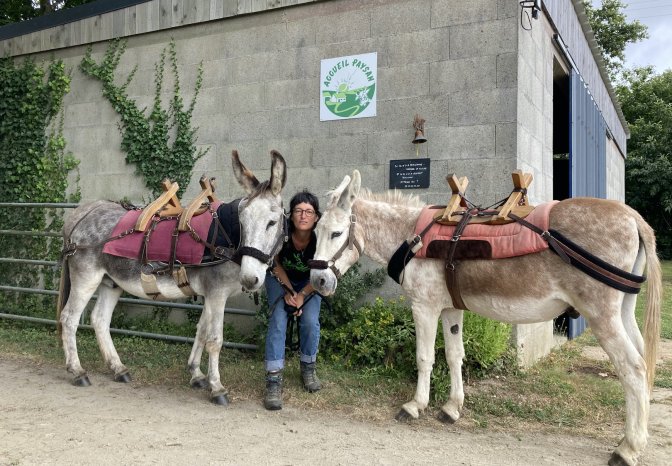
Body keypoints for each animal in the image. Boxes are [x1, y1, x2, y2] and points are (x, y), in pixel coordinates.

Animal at [57, 150, 287, 405]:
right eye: (242, 222)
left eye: (272, 222)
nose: (250, 279)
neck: (225, 237)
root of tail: (82, 212)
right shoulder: (217, 294)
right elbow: (215, 340)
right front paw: (217, 388)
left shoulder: (209, 294)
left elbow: (201, 331)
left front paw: (197, 374)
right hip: (86, 278)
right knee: (69, 318)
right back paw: (77, 372)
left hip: (111, 282)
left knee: (99, 319)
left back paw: (118, 369)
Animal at [309, 170, 662, 466]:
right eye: (315, 232)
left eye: (337, 233)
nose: (318, 282)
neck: (412, 237)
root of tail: (632, 216)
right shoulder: (450, 308)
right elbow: (454, 356)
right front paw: (452, 408)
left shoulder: (424, 307)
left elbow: (424, 357)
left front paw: (415, 406)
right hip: (623, 311)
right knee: (642, 362)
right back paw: (636, 439)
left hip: (601, 315)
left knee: (632, 369)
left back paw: (628, 448)